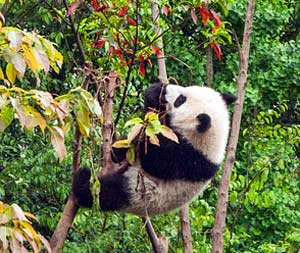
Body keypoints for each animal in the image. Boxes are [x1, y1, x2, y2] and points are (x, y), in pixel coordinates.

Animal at [71, 82, 236, 215]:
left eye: (180, 100)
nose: (167, 89)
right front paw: (155, 92)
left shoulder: (188, 159)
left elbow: (154, 161)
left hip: (139, 193)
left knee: (107, 193)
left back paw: (82, 180)